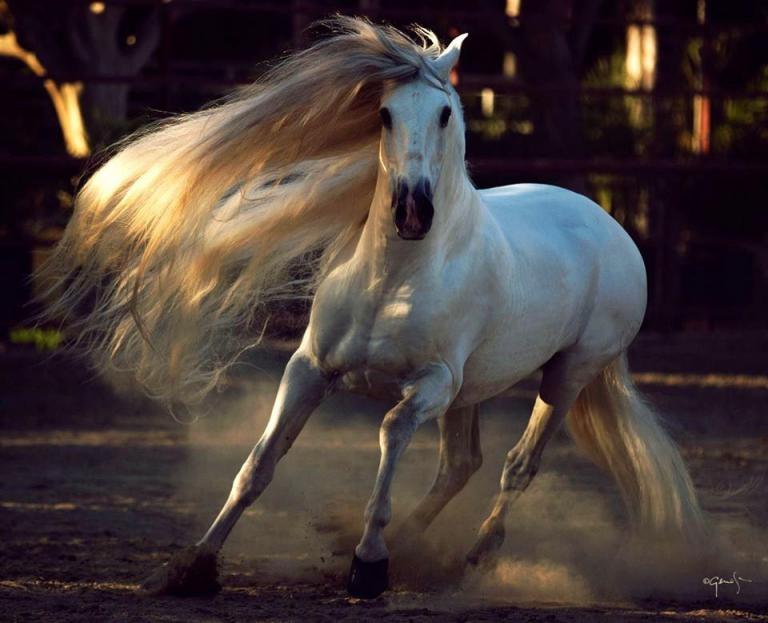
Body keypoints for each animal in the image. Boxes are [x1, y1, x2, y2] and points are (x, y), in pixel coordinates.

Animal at [40, 17, 705, 599]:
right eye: (383, 114)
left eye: (444, 113)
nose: (412, 210)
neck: (393, 280)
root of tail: (606, 222)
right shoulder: (309, 368)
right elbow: (258, 465)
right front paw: (191, 568)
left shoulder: (430, 383)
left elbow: (389, 433)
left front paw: (368, 564)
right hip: (473, 390)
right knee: (461, 464)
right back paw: (410, 547)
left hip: (566, 374)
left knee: (518, 466)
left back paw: (471, 556)